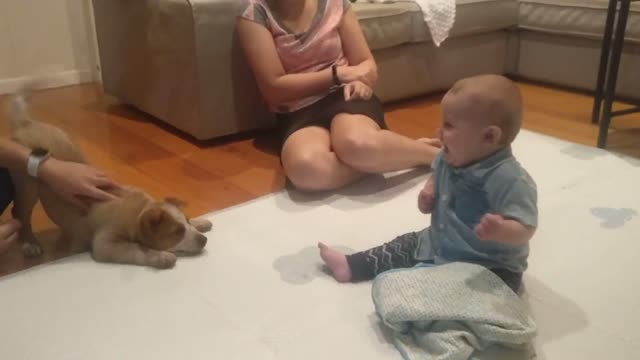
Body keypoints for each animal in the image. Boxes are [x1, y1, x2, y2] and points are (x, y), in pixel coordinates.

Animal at [4, 90, 212, 270]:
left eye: (186, 222)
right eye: (177, 232)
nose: (204, 240)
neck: (139, 209)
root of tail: (25, 123)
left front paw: (201, 222)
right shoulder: (105, 244)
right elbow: (136, 249)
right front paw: (161, 256)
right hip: (27, 183)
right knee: (20, 212)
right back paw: (29, 244)